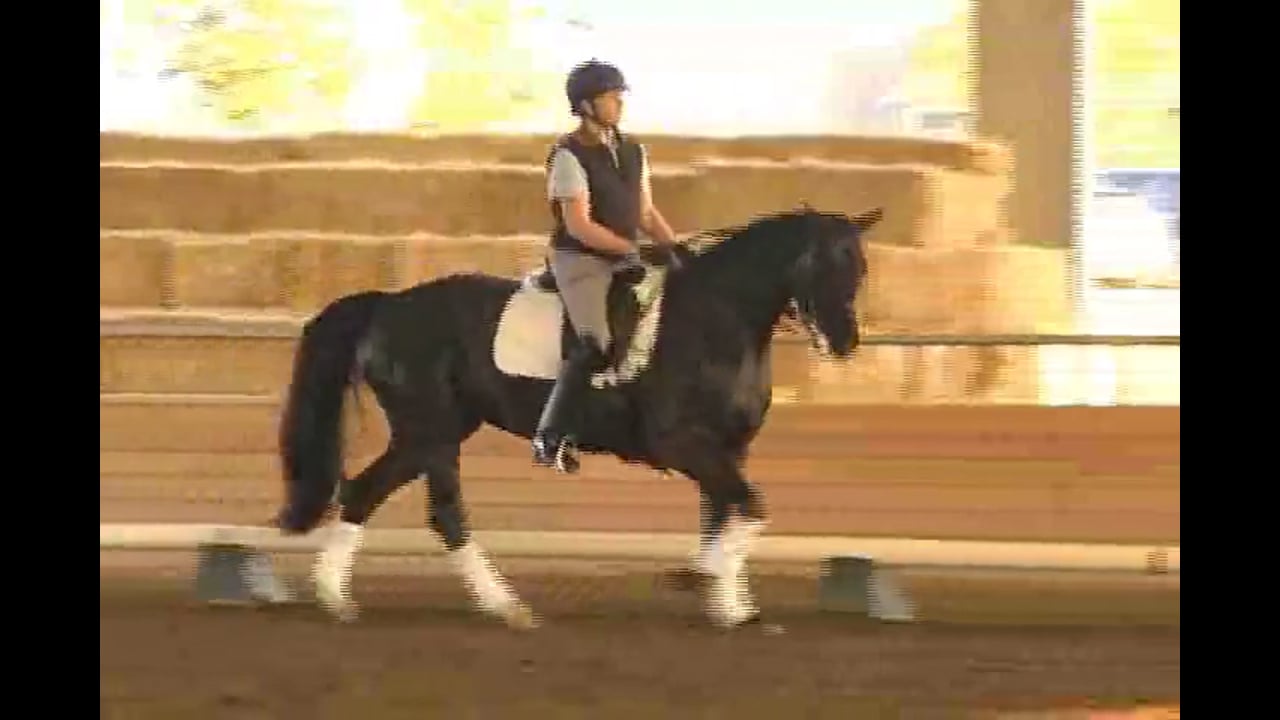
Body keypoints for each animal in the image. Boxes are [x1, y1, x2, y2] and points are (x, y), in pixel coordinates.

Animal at [274, 205, 879, 630]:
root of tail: (389, 303)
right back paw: (490, 605)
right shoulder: (682, 444)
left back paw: (353, 599)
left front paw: (726, 599)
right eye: (821, 262)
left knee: (383, 497)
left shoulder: (728, 449)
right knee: (428, 509)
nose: (844, 343)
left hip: (434, 433)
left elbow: (725, 514)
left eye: (860, 266)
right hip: (431, 431)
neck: (718, 319)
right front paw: (711, 582)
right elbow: (750, 509)